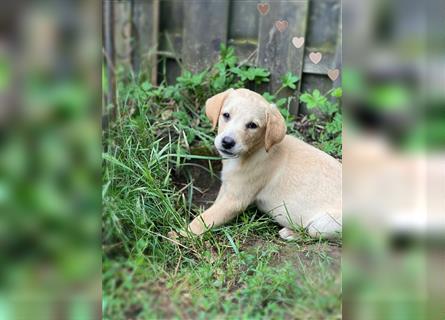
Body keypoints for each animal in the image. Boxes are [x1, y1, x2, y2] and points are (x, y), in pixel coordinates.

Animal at [186, 89, 342, 239]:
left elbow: (204, 219)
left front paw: (183, 234)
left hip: (322, 225)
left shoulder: (235, 200)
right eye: (226, 115)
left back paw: (291, 233)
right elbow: (214, 206)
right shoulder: (228, 187)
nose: (227, 142)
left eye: (252, 125)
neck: (256, 149)